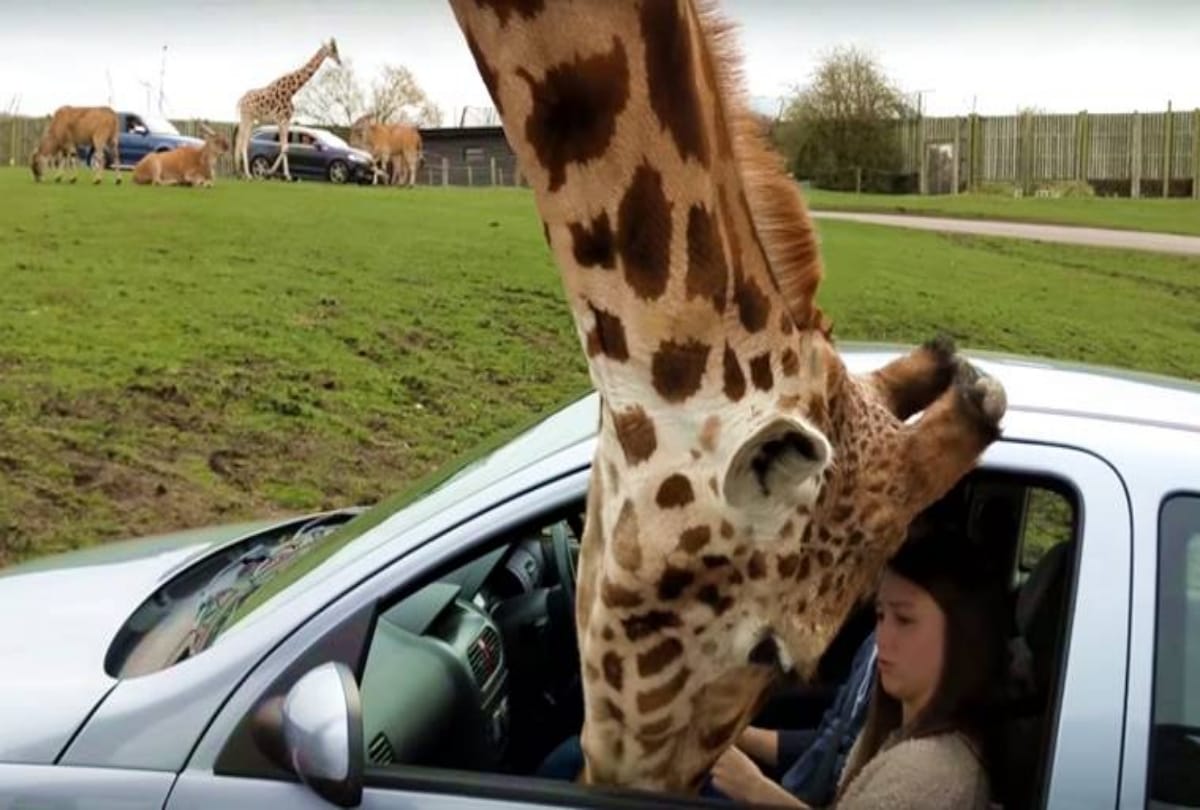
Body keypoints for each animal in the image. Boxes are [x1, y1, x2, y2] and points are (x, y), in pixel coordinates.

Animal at [233, 38, 341, 181]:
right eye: (333, 50)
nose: (339, 61)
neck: (292, 90)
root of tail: (241, 100)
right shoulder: (280, 119)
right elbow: (284, 147)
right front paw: (270, 172)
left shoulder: (287, 120)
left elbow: (286, 147)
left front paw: (287, 175)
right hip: (247, 117)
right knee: (243, 143)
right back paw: (248, 175)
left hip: (252, 119)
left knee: (240, 141)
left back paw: (240, 173)